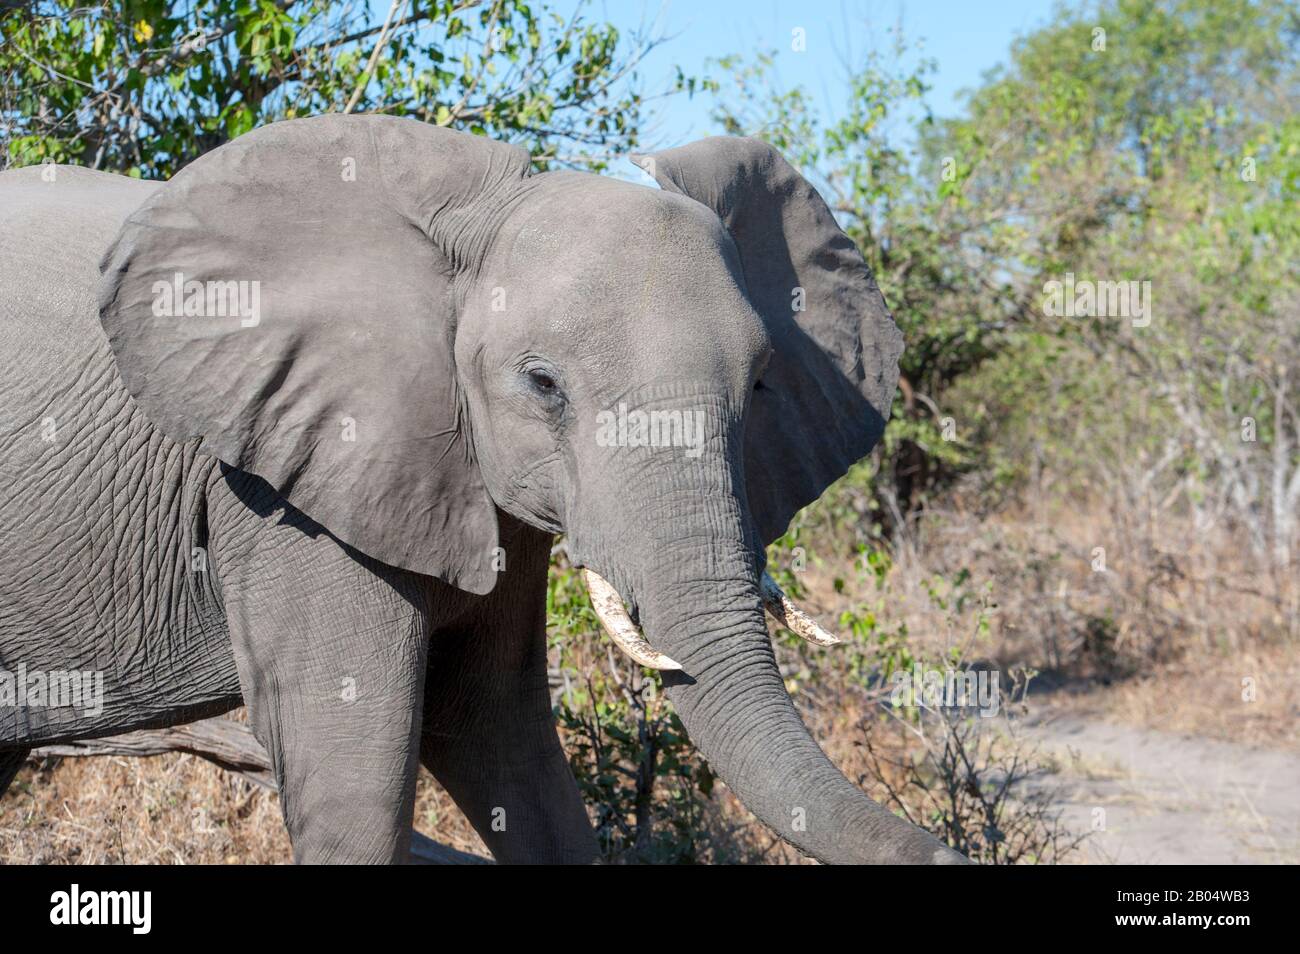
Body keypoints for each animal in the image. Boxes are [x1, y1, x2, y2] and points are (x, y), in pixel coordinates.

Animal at [0, 111, 972, 868]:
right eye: (542, 385)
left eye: (763, 383)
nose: (952, 847)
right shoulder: (279, 496)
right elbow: (357, 776)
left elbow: (495, 729)